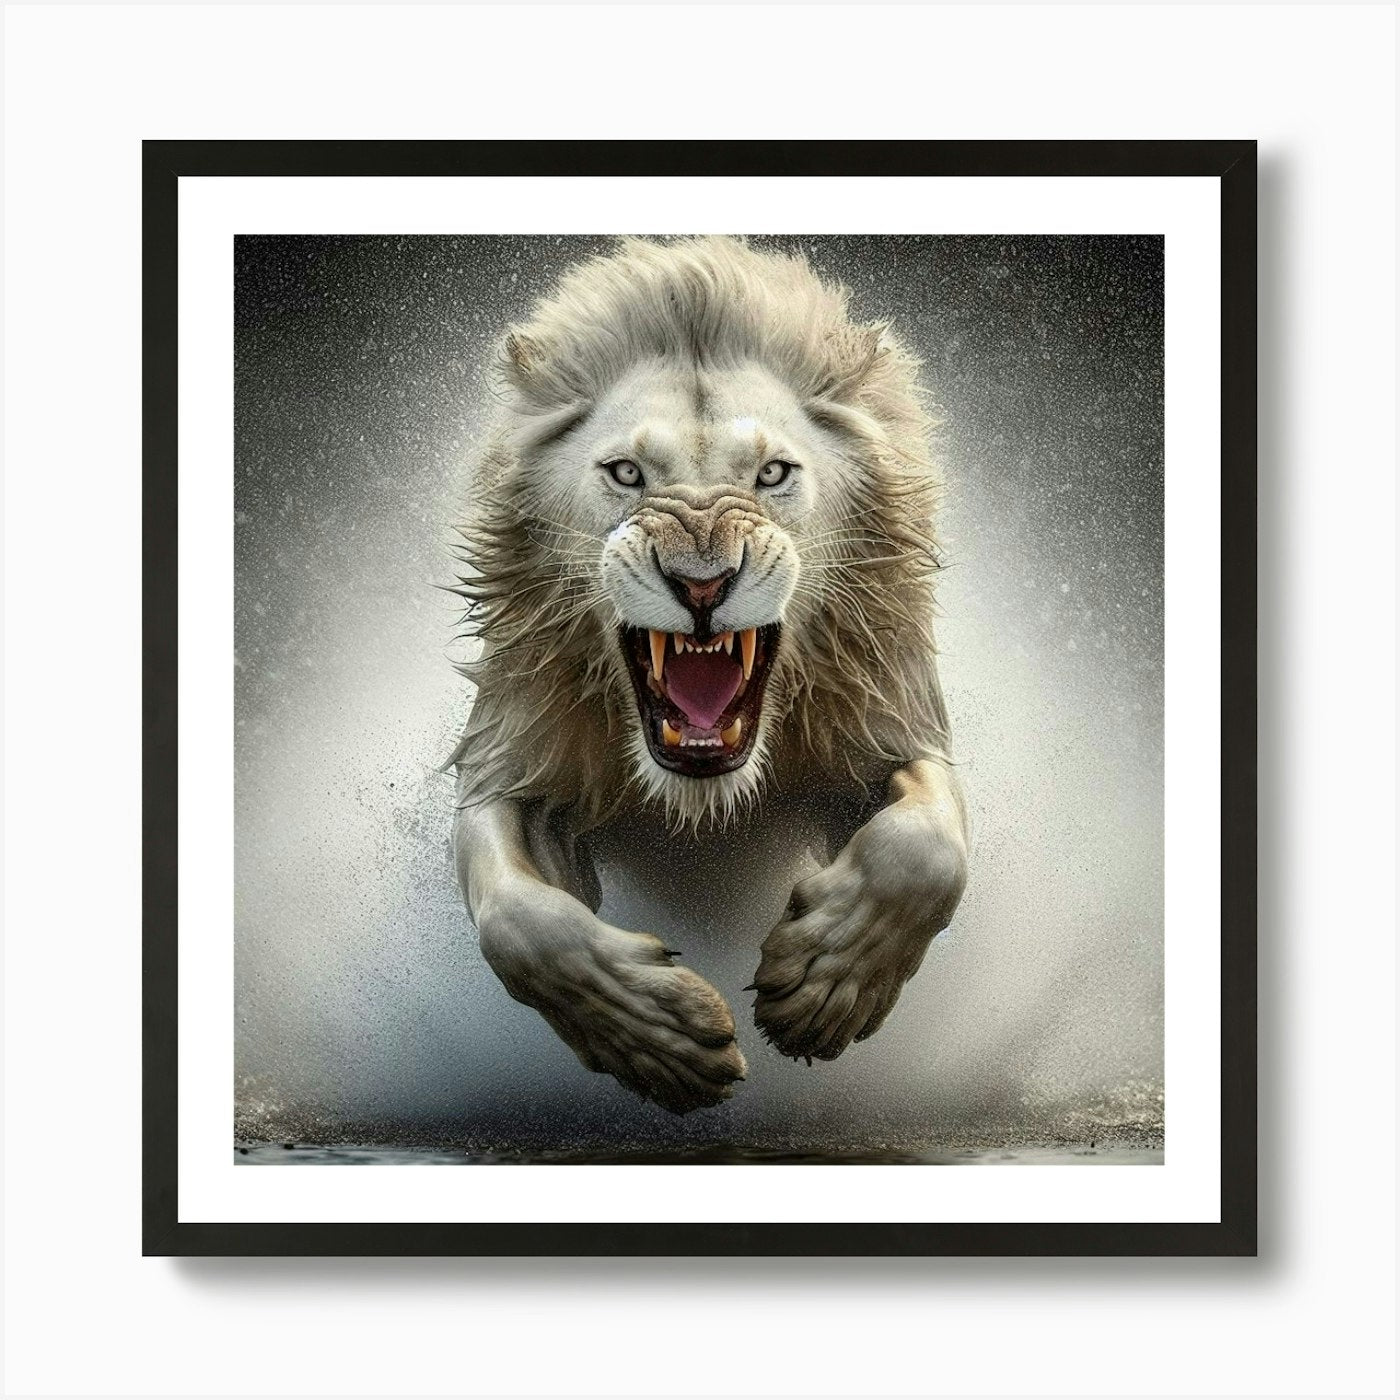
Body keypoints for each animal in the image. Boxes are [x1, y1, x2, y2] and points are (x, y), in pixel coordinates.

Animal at [449, 236, 968, 1114]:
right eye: (627, 474)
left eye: (772, 474)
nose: (700, 584)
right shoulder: (512, 758)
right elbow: (518, 924)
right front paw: (659, 1039)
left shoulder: (894, 727)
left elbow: (928, 850)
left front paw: (827, 982)